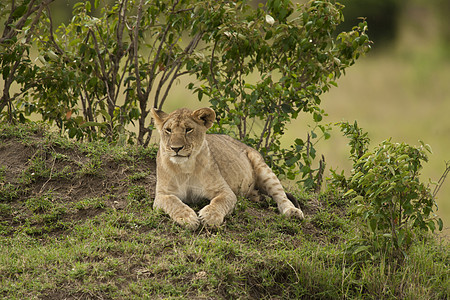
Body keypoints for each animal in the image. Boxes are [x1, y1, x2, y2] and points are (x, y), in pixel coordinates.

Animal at [150, 106, 302, 229]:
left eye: (188, 129)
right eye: (168, 130)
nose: (176, 148)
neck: (185, 168)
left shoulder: (225, 190)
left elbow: (219, 202)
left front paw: (209, 217)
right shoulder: (162, 195)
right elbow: (173, 202)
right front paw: (187, 218)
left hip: (263, 169)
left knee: (281, 196)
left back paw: (292, 212)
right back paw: (258, 197)